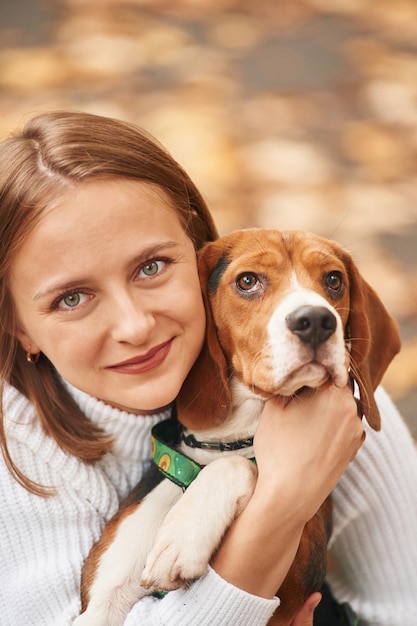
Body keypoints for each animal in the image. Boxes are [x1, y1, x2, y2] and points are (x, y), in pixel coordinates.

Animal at [75, 229, 400, 624]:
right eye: (247, 281)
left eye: (334, 280)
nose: (317, 321)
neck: (225, 443)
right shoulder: (101, 604)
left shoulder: (294, 581)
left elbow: (243, 467)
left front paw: (183, 535)